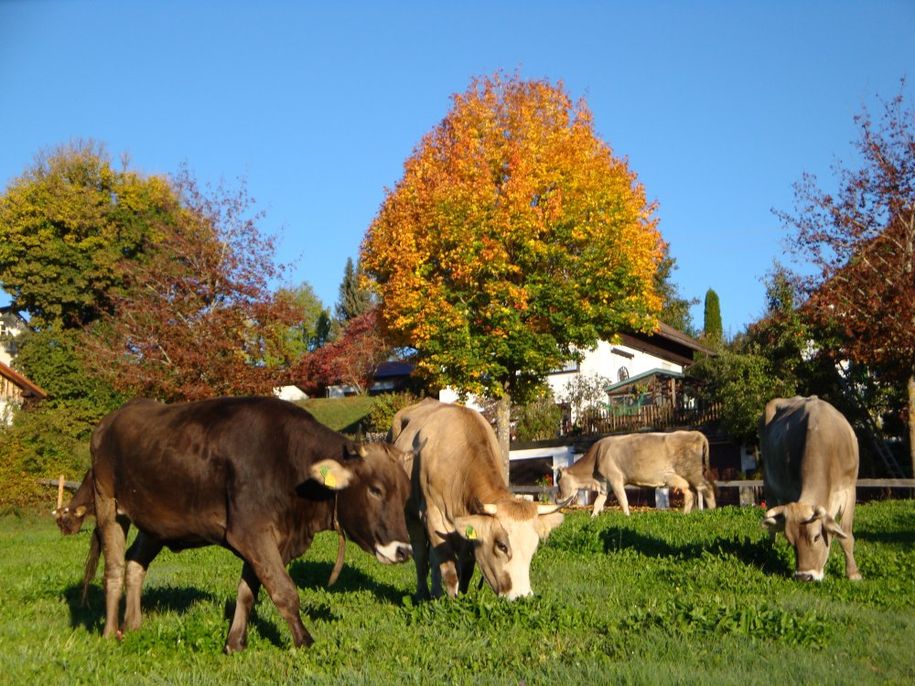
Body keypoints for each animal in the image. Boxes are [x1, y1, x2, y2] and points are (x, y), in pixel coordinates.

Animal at [84, 396, 414, 652]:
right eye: (375, 489)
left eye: (406, 493)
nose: (403, 550)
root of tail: (109, 420)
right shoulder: (250, 531)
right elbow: (283, 590)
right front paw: (304, 640)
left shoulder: (271, 538)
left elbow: (247, 591)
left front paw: (235, 642)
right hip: (107, 503)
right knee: (113, 568)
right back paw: (109, 633)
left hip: (155, 523)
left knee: (135, 563)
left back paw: (133, 624)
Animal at [392, 398, 564, 600]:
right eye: (502, 546)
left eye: (533, 547)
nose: (521, 596)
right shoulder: (433, 516)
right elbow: (449, 570)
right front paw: (452, 602)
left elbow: (465, 569)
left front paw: (461, 597)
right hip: (411, 516)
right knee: (420, 556)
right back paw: (423, 594)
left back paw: (436, 594)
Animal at [556, 432, 720, 520]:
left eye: (558, 481)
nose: (558, 498)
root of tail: (696, 434)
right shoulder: (605, 485)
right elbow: (597, 503)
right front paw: (592, 518)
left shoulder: (615, 479)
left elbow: (623, 500)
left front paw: (627, 517)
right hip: (681, 478)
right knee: (691, 493)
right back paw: (685, 514)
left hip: (693, 472)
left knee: (706, 489)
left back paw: (713, 512)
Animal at [760, 398, 860, 580]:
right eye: (790, 540)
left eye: (817, 536)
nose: (804, 576)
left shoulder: (849, 490)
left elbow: (846, 535)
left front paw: (853, 573)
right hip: (769, 487)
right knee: (771, 529)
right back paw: (770, 551)